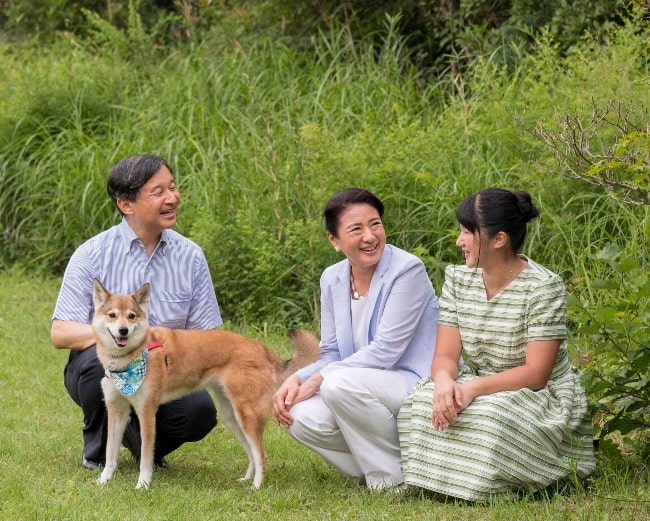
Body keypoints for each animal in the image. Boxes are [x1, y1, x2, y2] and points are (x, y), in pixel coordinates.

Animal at [92, 278, 320, 490]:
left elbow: (146, 459)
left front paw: (143, 485)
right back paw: (246, 479)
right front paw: (103, 481)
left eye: (131, 316)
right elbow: (110, 455)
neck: (128, 360)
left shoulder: (146, 413)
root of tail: (265, 352)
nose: (123, 331)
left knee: (261, 454)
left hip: (247, 416)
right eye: (112, 315)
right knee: (252, 452)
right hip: (232, 417)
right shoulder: (117, 412)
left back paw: (256, 487)